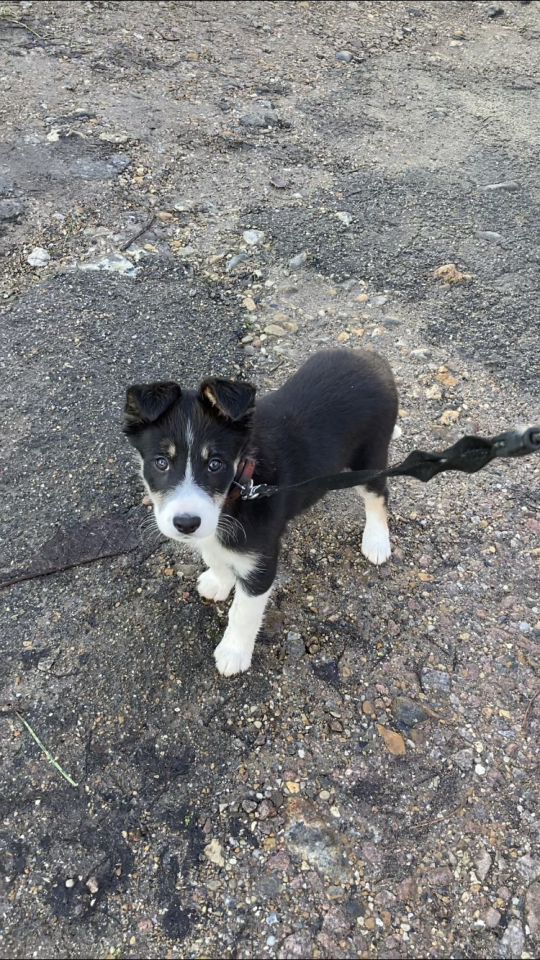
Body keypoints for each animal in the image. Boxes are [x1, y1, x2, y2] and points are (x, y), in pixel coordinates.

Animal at [124, 350, 398, 676]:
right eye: (161, 462)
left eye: (215, 464)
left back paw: (377, 541)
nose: (186, 523)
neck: (242, 485)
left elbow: (243, 612)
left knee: (378, 496)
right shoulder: (211, 528)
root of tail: (373, 358)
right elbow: (214, 555)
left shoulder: (260, 562)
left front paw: (233, 652)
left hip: (369, 456)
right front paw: (219, 582)